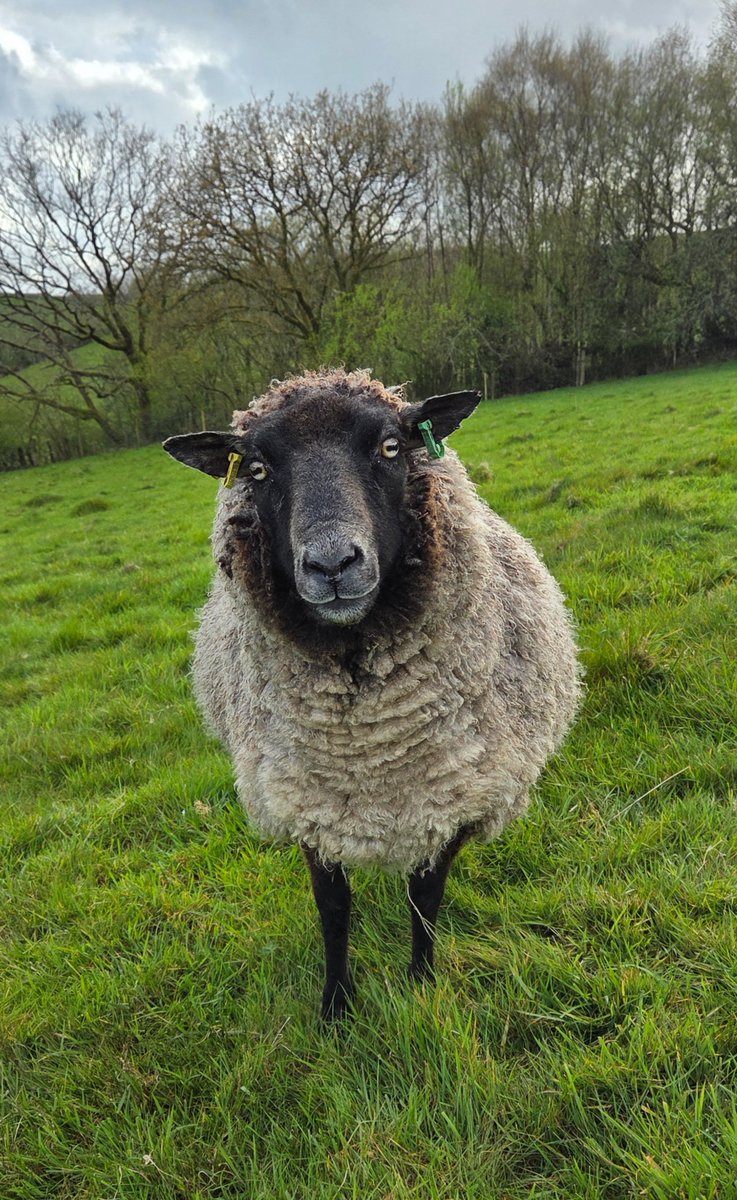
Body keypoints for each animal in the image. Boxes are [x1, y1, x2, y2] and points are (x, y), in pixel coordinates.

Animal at [163, 368, 581, 1020]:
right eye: (256, 468)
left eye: (389, 447)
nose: (332, 564)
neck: (367, 744)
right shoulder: (309, 804)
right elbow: (333, 909)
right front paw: (336, 1005)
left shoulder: (451, 799)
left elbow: (424, 898)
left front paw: (420, 982)